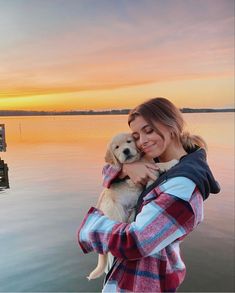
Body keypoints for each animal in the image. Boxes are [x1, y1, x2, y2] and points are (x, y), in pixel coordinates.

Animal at [88, 132, 178, 278]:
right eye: (117, 147)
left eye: (129, 141)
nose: (125, 150)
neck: (137, 161)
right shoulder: (133, 178)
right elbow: (155, 166)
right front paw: (169, 163)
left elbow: (154, 164)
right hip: (116, 210)